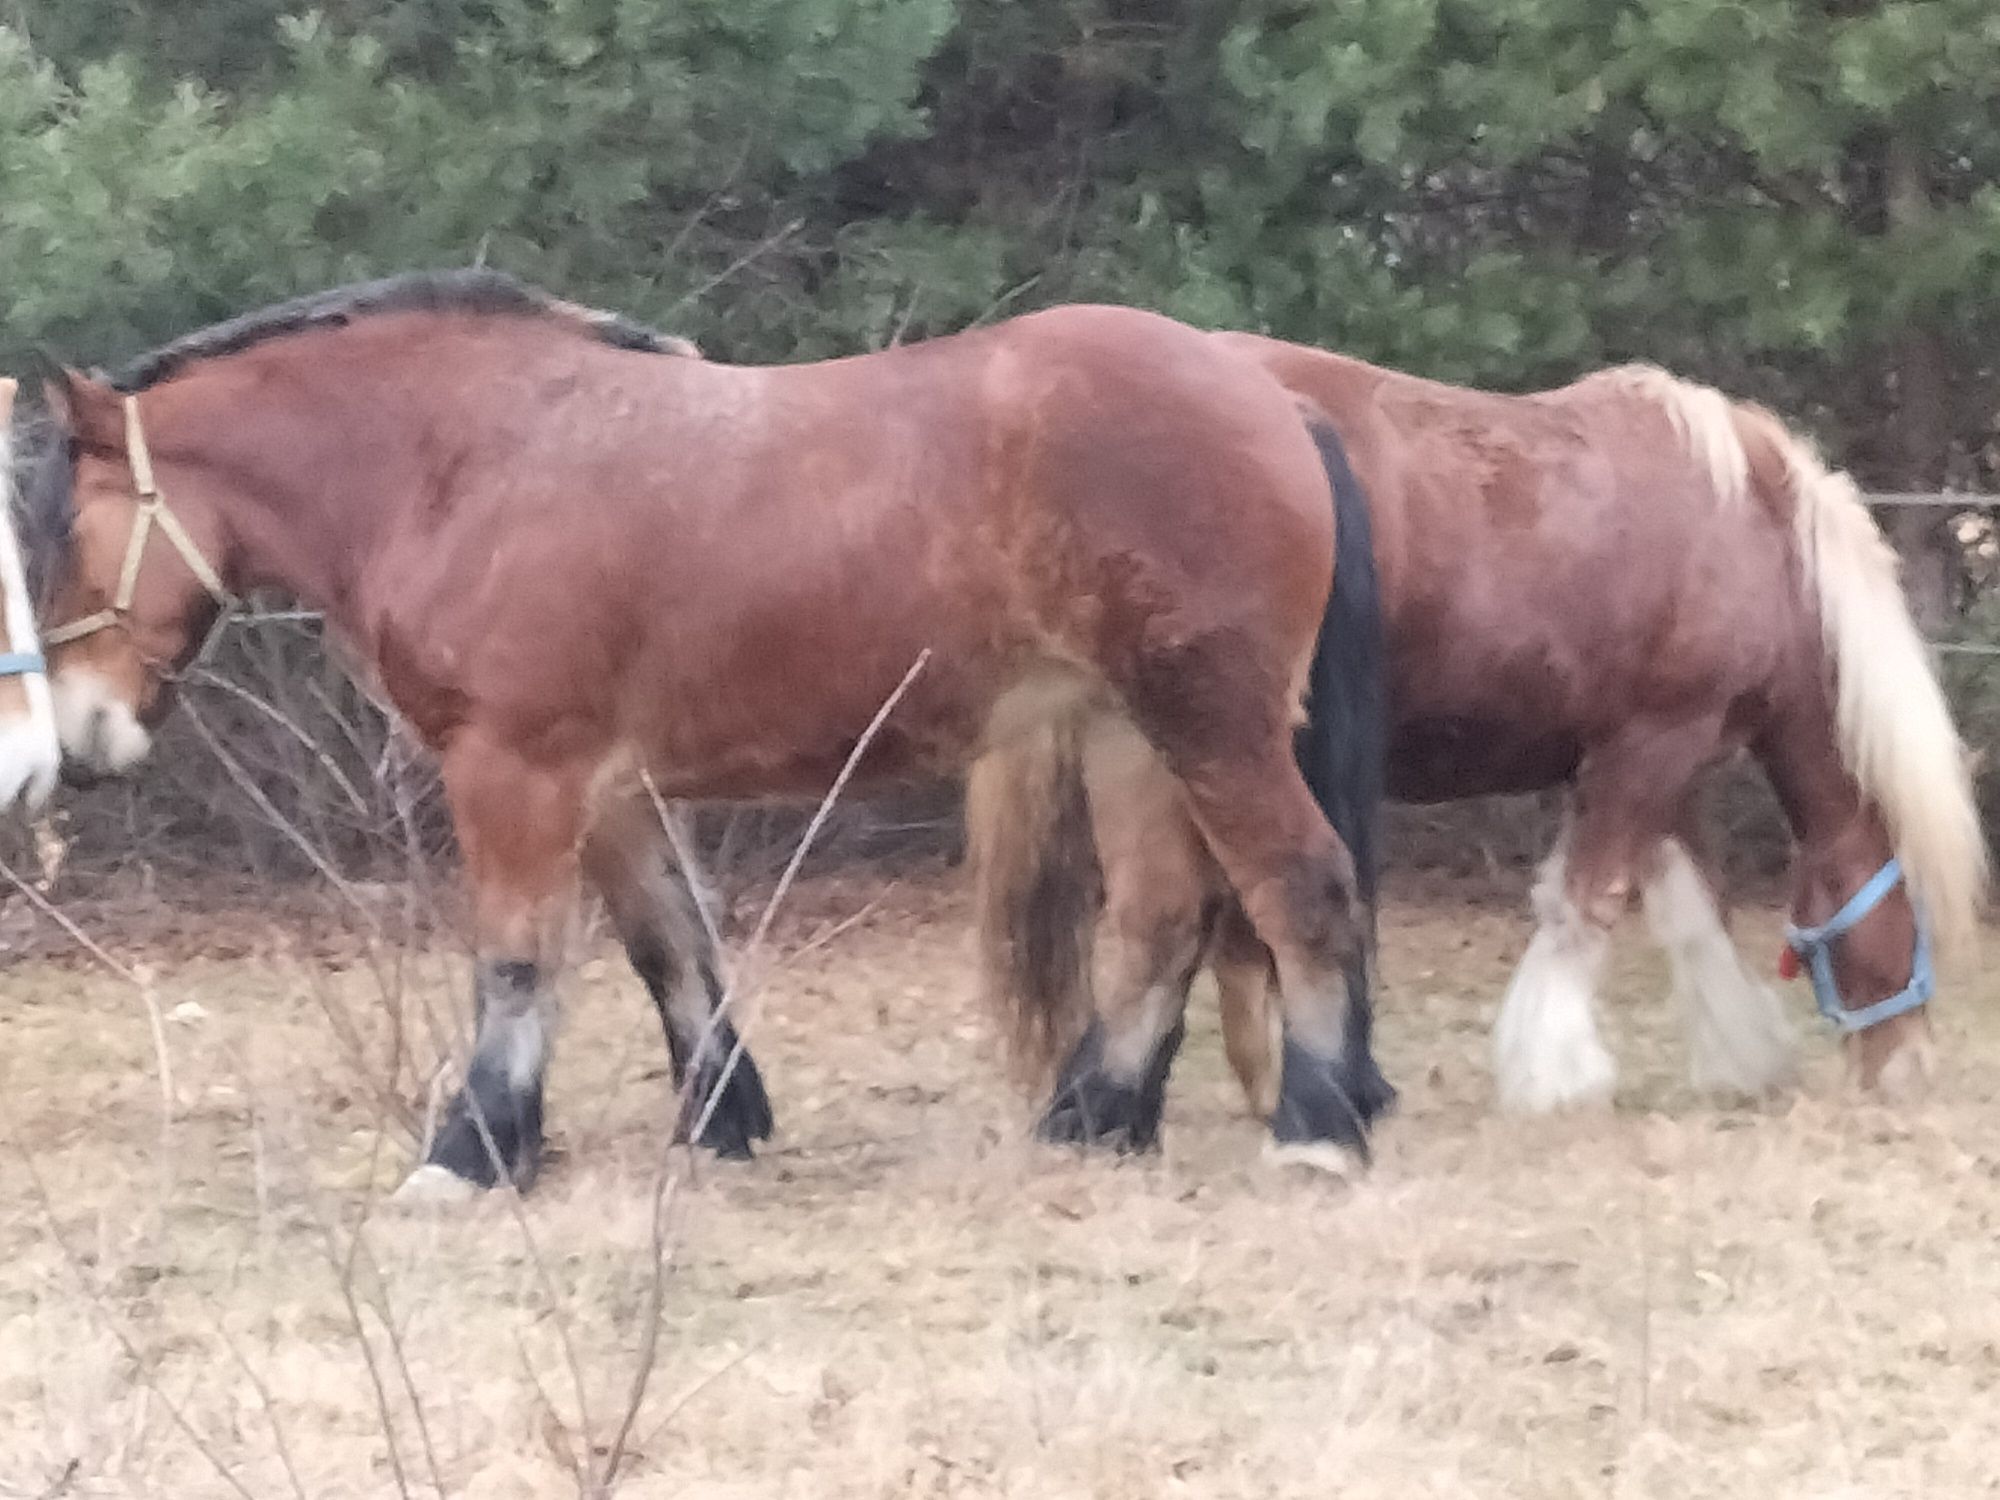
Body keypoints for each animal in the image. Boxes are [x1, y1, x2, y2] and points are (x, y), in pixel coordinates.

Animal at [15, 274, 1392, 1200]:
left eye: (64, 527)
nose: (75, 737)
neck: (467, 463)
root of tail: (1267, 394)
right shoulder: (604, 785)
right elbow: (668, 945)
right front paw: (721, 1118)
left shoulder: (514, 769)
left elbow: (515, 962)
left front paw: (471, 1150)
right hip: (1124, 731)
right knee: (1159, 917)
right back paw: (1093, 1121)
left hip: (1208, 722)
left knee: (1296, 885)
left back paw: (1316, 1131)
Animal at [968, 334, 1984, 1136]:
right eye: (1916, 917)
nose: (1907, 1068)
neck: (1751, 536)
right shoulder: (1652, 747)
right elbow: (1587, 903)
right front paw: (1554, 1075)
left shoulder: (1657, 757)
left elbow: (1687, 911)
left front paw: (1739, 1056)